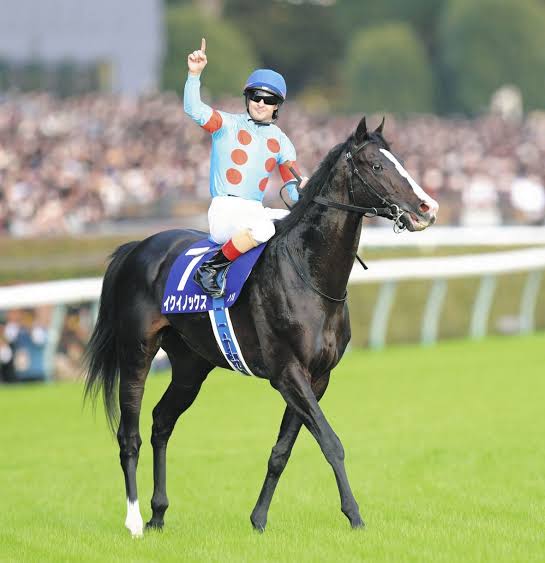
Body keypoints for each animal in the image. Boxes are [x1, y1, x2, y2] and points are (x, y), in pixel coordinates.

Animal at [83, 116, 438, 537]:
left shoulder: (317, 377)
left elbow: (281, 452)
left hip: (190, 365)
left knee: (161, 422)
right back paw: (135, 520)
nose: (427, 207)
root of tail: (136, 246)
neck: (309, 274)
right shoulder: (288, 373)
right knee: (130, 434)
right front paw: (354, 515)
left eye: (399, 160)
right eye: (378, 166)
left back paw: (158, 512)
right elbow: (331, 442)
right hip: (136, 351)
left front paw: (258, 519)